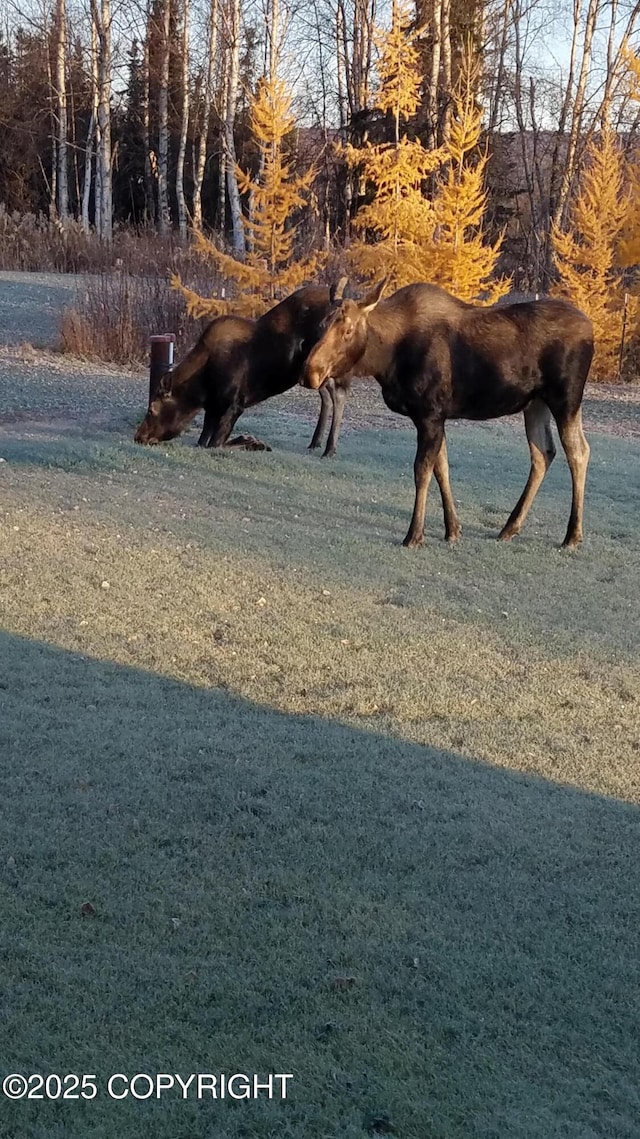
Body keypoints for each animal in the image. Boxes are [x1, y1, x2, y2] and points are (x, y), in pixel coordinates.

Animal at [134, 280, 350, 453]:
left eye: (151, 409)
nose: (138, 436)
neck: (200, 388)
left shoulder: (235, 404)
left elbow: (215, 444)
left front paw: (254, 441)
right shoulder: (213, 406)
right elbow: (203, 441)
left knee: (338, 394)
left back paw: (329, 448)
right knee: (327, 397)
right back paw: (316, 442)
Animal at [300, 284, 592, 551]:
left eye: (348, 330)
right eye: (322, 325)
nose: (310, 372)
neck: (386, 360)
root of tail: (591, 331)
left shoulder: (429, 415)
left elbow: (422, 471)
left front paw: (414, 535)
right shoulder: (434, 418)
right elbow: (442, 469)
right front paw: (452, 529)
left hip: (566, 399)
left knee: (578, 451)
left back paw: (572, 535)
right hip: (535, 404)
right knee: (543, 453)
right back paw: (510, 527)